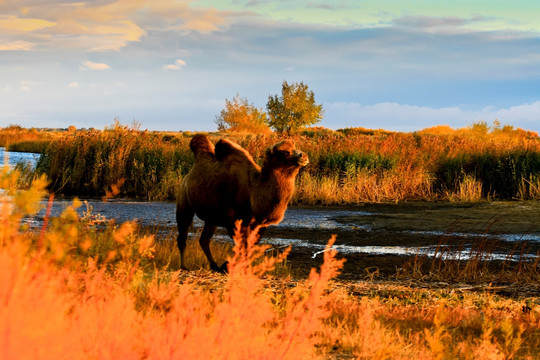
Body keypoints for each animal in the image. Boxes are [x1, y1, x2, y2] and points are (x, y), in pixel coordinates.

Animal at [176, 134, 308, 272]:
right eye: (284, 153)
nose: (303, 156)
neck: (253, 191)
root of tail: (187, 177)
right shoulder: (234, 220)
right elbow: (242, 246)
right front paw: (233, 267)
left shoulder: (259, 224)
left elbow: (249, 246)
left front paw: (233, 267)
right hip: (184, 202)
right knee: (183, 235)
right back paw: (183, 267)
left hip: (212, 217)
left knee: (204, 240)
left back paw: (214, 266)